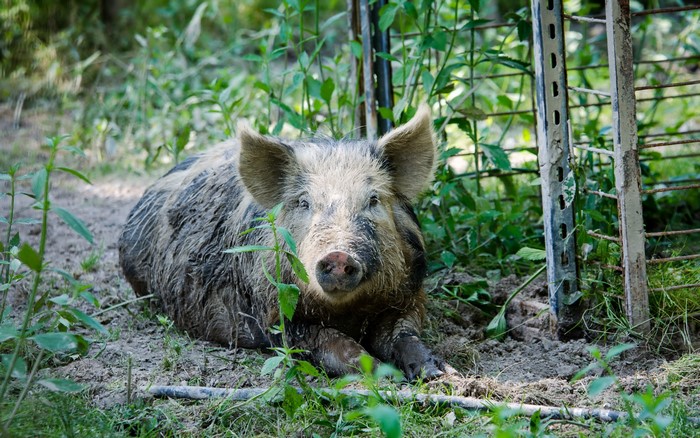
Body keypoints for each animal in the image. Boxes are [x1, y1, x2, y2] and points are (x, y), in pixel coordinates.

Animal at [118, 104, 447, 379]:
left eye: (373, 199)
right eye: (303, 203)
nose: (339, 254)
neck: (347, 311)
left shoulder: (410, 295)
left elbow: (405, 335)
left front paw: (438, 374)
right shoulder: (275, 314)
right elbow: (333, 344)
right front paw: (384, 374)